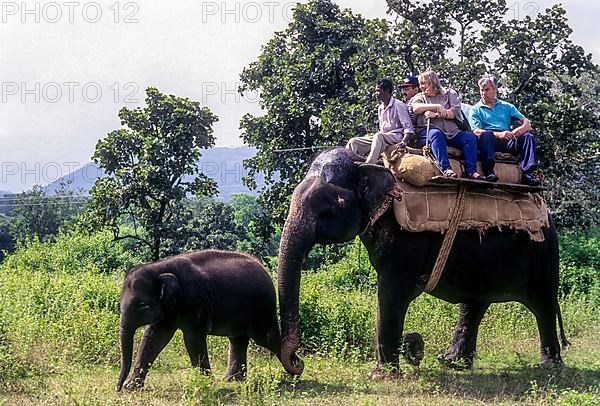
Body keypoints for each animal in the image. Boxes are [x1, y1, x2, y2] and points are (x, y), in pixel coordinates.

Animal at [116, 249, 304, 392]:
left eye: (142, 305)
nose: (117, 388)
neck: (160, 267)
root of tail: (265, 270)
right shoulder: (169, 309)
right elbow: (153, 338)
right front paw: (132, 388)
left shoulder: (194, 301)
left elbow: (193, 340)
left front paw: (207, 384)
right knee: (238, 339)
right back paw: (232, 380)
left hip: (262, 308)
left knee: (266, 338)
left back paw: (296, 370)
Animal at [278, 148, 568, 378]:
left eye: (329, 208)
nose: (298, 363)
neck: (368, 162)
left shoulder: (408, 242)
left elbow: (391, 292)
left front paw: (381, 375)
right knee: (474, 304)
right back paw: (452, 363)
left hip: (543, 252)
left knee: (542, 302)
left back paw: (549, 366)